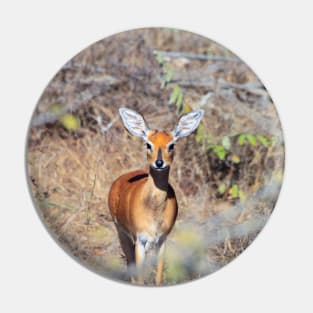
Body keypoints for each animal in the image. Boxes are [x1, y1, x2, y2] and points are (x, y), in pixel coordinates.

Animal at [108, 108, 204, 286]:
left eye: (171, 145)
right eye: (148, 144)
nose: (159, 163)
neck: (154, 211)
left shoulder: (162, 240)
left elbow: (158, 276)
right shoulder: (140, 240)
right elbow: (140, 276)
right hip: (121, 232)